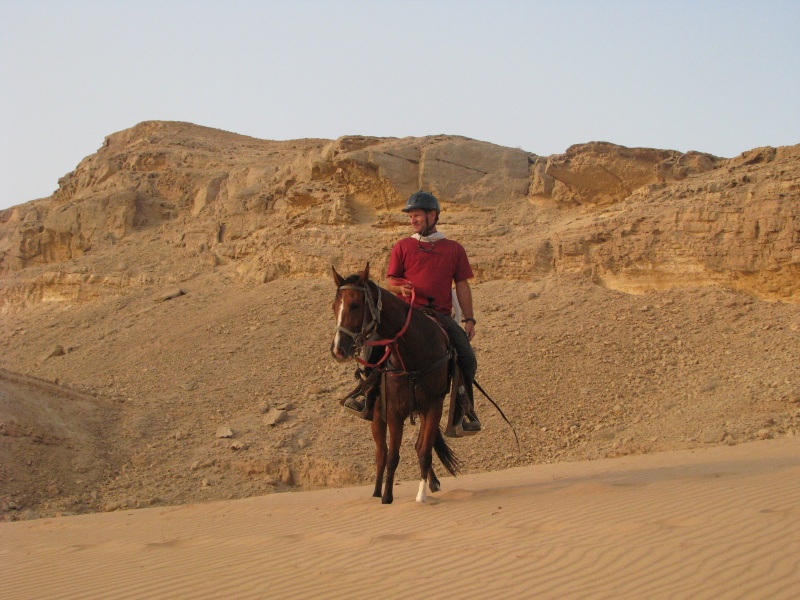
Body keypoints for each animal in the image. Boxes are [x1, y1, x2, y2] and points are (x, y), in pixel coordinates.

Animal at [328, 264, 460, 504]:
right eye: (334, 306)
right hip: (377, 416)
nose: (338, 350)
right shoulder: (394, 412)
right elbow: (392, 456)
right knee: (381, 453)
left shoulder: (433, 407)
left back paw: (432, 483)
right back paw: (376, 492)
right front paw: (387, 497)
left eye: (354, 305)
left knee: (416, 447)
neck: (414, 356)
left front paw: (421, 495)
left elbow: (424, 450)